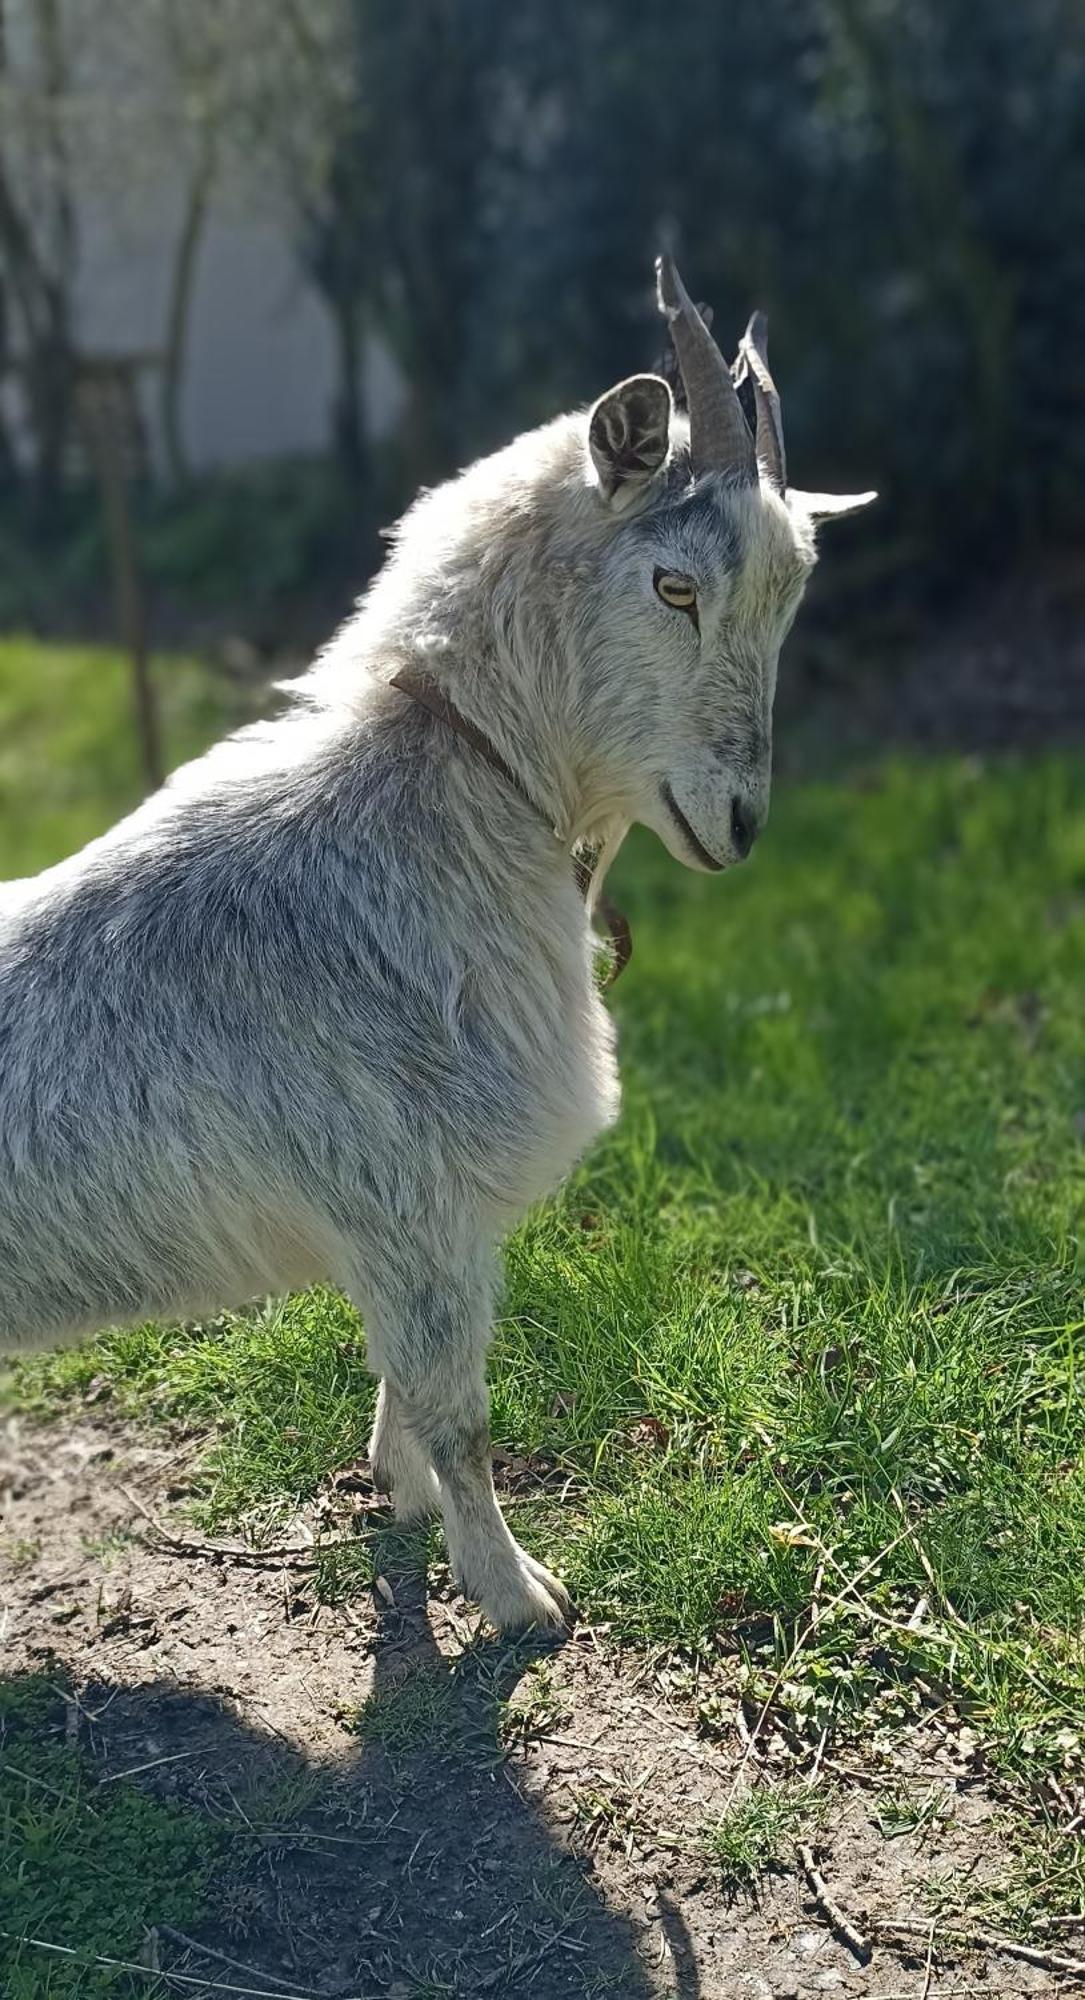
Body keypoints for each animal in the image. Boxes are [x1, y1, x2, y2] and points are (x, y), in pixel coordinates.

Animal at [0, 262, 876, 1624]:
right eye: (675, 585)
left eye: (788, 601)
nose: (740, 823)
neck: (447, 798)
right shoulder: (410, 1201)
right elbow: (459, 1414)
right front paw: (516, 1594)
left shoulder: (406, 1224)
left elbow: (402, 1390)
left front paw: (397, 1496)